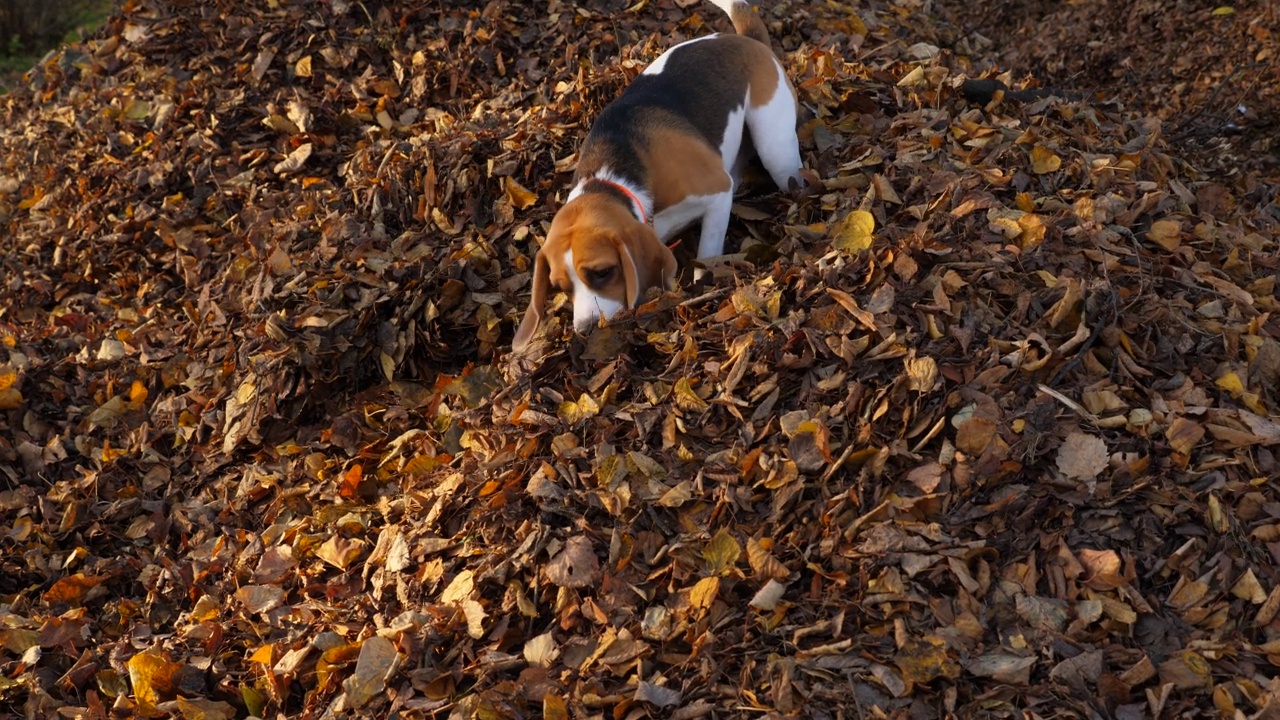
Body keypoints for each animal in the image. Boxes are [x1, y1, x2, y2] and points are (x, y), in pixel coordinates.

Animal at [509, 0, 798, 351]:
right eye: (562, 287)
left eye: (602, 272)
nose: (586, 329)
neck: (613, 181)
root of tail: (747, 40)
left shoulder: (717, 192)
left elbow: (707, 250)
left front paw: (702, 283)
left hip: (776, 149)